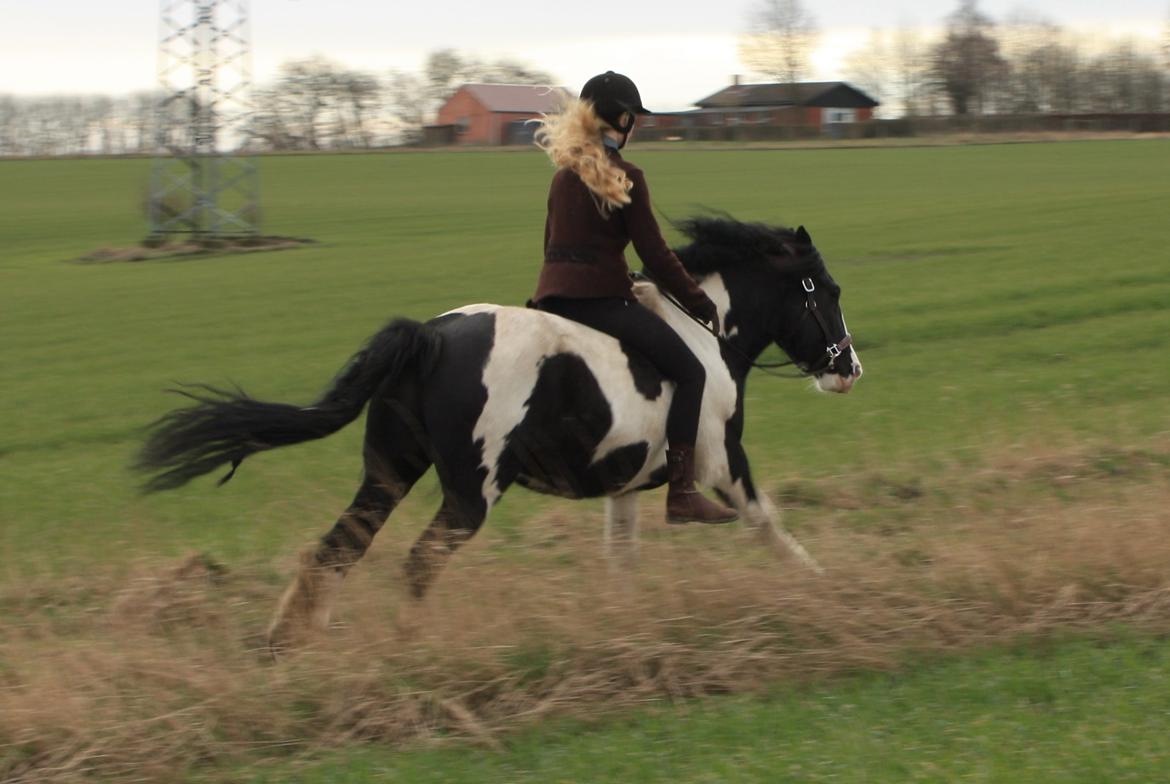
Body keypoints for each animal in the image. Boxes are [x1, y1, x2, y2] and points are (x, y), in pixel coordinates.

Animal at [136, 216, 861, 650]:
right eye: (825, 289)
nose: (848, 368)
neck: (706, 332)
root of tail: (428, 338)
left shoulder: (625, 484)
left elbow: (622, 559)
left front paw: (627, 629)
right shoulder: (718, 459)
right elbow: (767, 523)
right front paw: (824, 590)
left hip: (388, 473)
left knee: (334, 551)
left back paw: (289, 647)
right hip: (471, 492)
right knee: (417, 562)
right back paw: (414, 647)